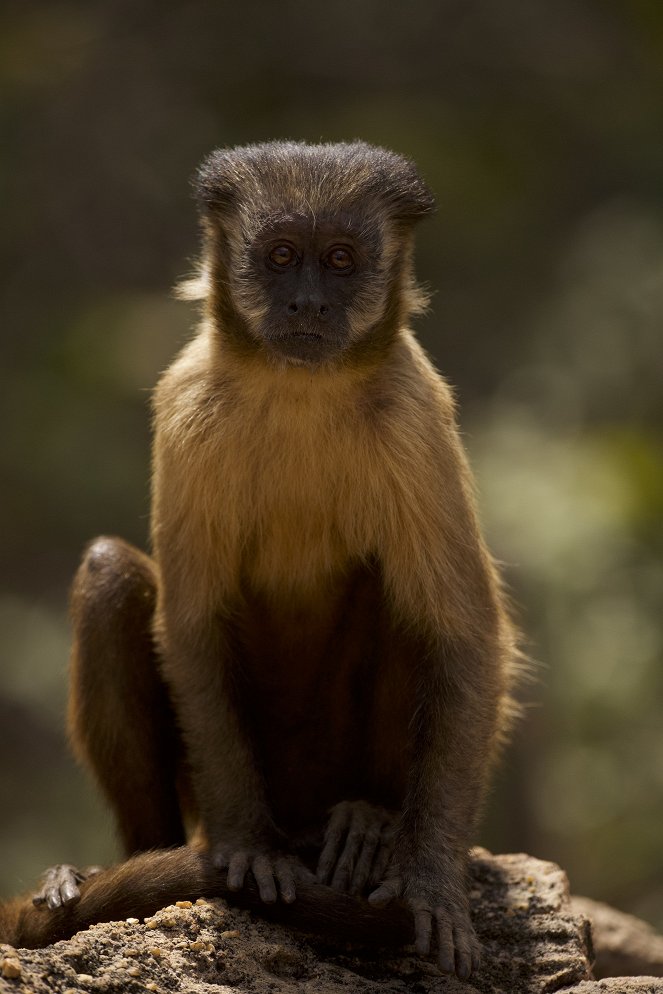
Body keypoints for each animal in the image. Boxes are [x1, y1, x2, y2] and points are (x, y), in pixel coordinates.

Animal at [7, 141, 520, 976]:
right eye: (281, 257)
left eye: (339, 260)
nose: (307, 304)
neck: (301, 388)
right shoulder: (186, 406)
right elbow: (190, 627)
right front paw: (247, 847)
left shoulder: (415, 414)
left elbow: (466, 636)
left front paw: (429, 875)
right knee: (111, 573)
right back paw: (144, 858)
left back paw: (369, 821)